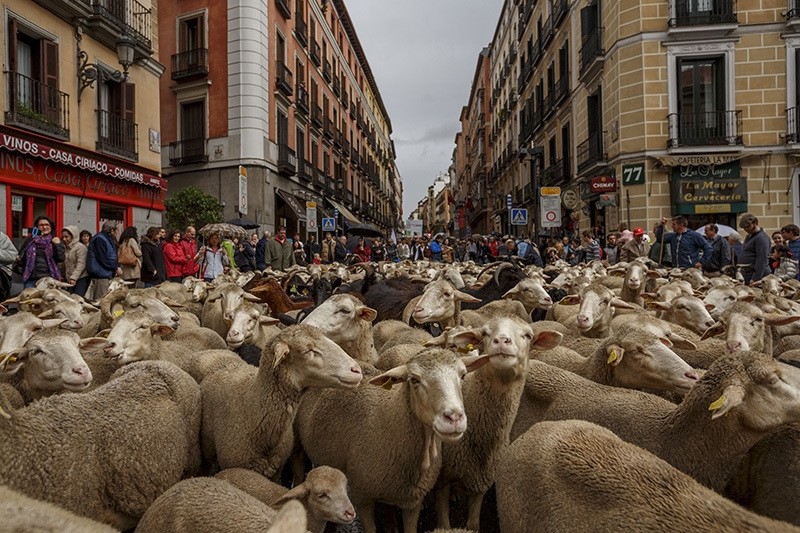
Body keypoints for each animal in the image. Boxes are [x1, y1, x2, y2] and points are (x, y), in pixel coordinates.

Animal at [433, 317, 562, 531]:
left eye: (528, 335)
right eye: (485, 333)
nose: (502, 340)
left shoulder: (482, 483)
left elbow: (473, 523)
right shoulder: (443, 479)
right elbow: (443, 523)